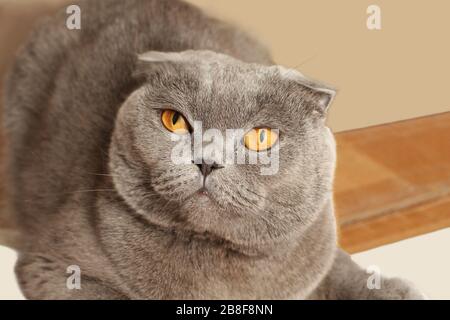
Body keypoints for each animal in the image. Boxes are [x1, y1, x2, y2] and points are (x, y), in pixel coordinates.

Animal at [3, 0, 426, 300]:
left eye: (260, 137)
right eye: (174, 121)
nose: (207, 161)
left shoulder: (315, 241)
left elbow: (338, 266)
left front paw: (392, 291)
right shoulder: (54, 264)